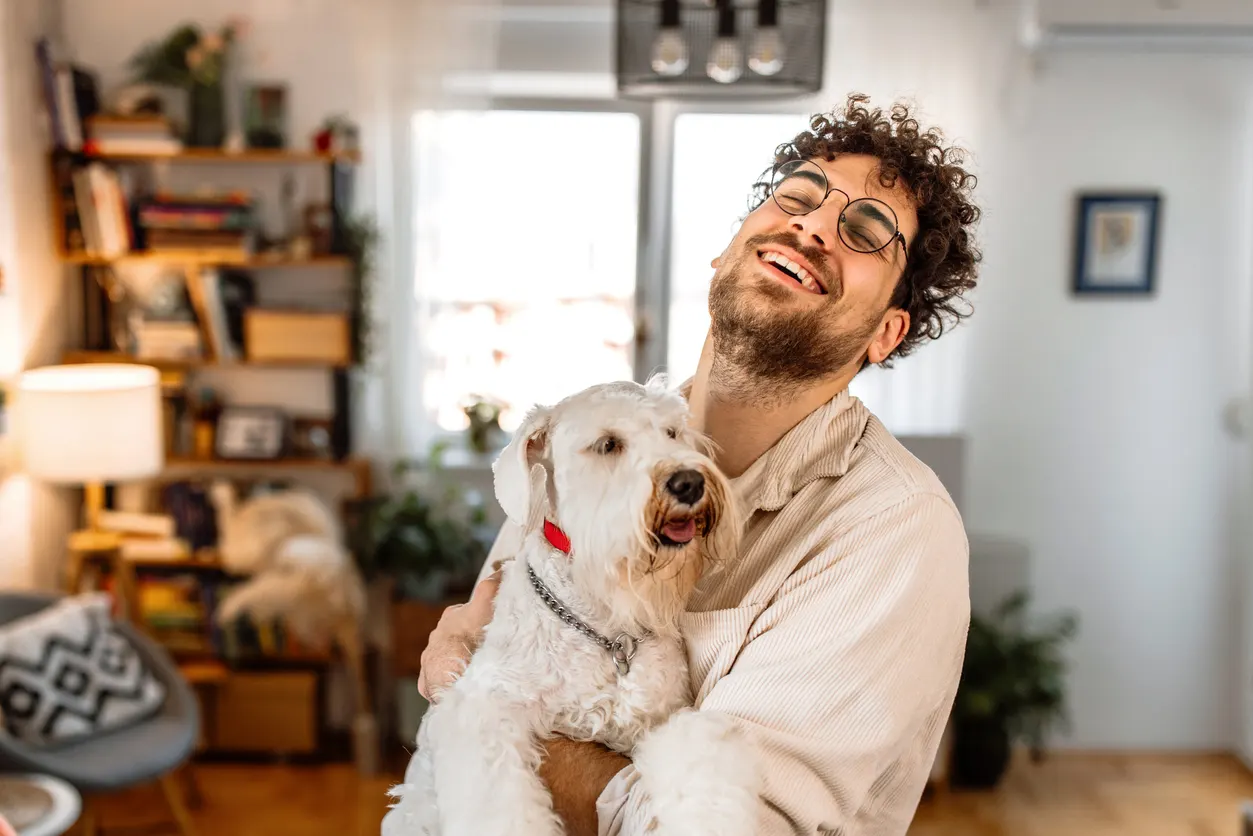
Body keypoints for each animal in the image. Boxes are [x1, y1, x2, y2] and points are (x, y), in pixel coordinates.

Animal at [380, 378, 756, 836]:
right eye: (608, 444)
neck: (607, 631)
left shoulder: (661, 721)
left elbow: (697, 763)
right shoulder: (483, 710)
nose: (689, 482)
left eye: (672, 432)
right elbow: (501, 808)